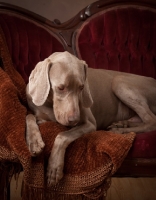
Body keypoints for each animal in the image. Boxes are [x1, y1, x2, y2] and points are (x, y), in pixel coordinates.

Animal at [25, 50, 156, 185]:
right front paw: (34, 142)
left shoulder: (90, 124)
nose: (75, 120)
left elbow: (62, 135)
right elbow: (29, 116)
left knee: (151, 121)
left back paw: (120, 130)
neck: (50, 104)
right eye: (61, 88)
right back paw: (122, 124)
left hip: (119, 81)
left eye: (81, 87)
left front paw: (54, 167)